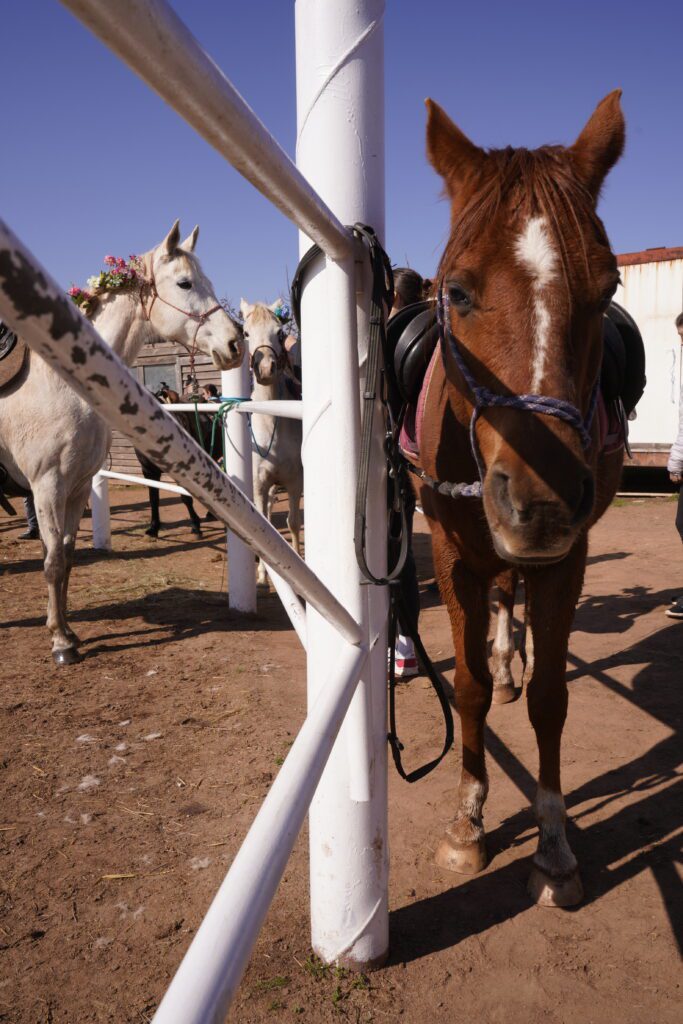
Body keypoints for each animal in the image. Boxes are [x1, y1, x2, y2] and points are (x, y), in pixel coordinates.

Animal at [0, 220, 243, 665]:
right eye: (184, 283)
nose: (235, 343)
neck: (63, 383)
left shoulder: (77, 487)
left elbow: (67, 557)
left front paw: (68, 631)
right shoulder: (46, 486)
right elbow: (52, 561)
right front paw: (60, 643)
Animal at [416, 91, 627, 907]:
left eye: (607, 290)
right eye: (457, 290)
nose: (540, 502)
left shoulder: (566, 559)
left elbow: (550, 699)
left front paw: (554, 846)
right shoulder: (453, 558)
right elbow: (469, 687)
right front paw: (468, 823)